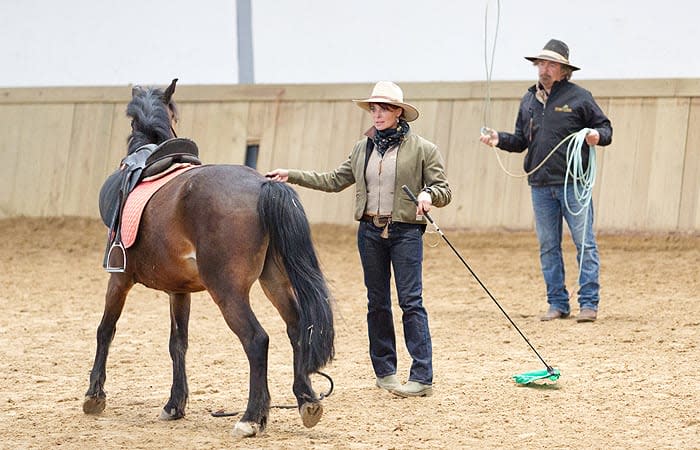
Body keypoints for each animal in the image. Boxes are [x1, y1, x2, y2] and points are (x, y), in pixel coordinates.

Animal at [83, 79, 334, 438]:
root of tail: (262, 185)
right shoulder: (179, 291)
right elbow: (178, 343)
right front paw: (174, 405)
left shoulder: (118, 279)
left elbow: (106, 330)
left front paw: (94, 396)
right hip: (273, 280)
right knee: (297, 326)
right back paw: (307, 401)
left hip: (227, 291)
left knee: (257, 340)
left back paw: (250, 418)